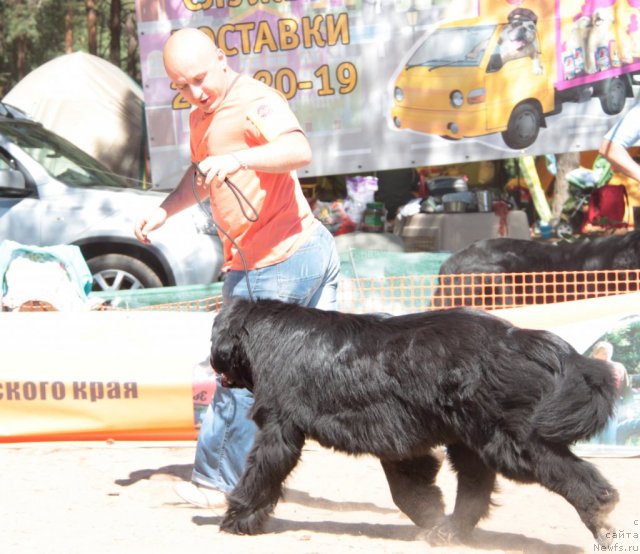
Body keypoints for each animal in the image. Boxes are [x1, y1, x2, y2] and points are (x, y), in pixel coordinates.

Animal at [210, 298, 620, 544]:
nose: (212, 364)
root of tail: (521, 337)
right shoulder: (394, 439)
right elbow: (409, 486)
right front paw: (430, 516)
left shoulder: (280, 428)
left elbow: (262, 470)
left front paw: (238, 517)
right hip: (471, 437)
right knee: (475, 483)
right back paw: (450, 531)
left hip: (511, 439)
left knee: (570, 474)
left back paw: (600, 515)